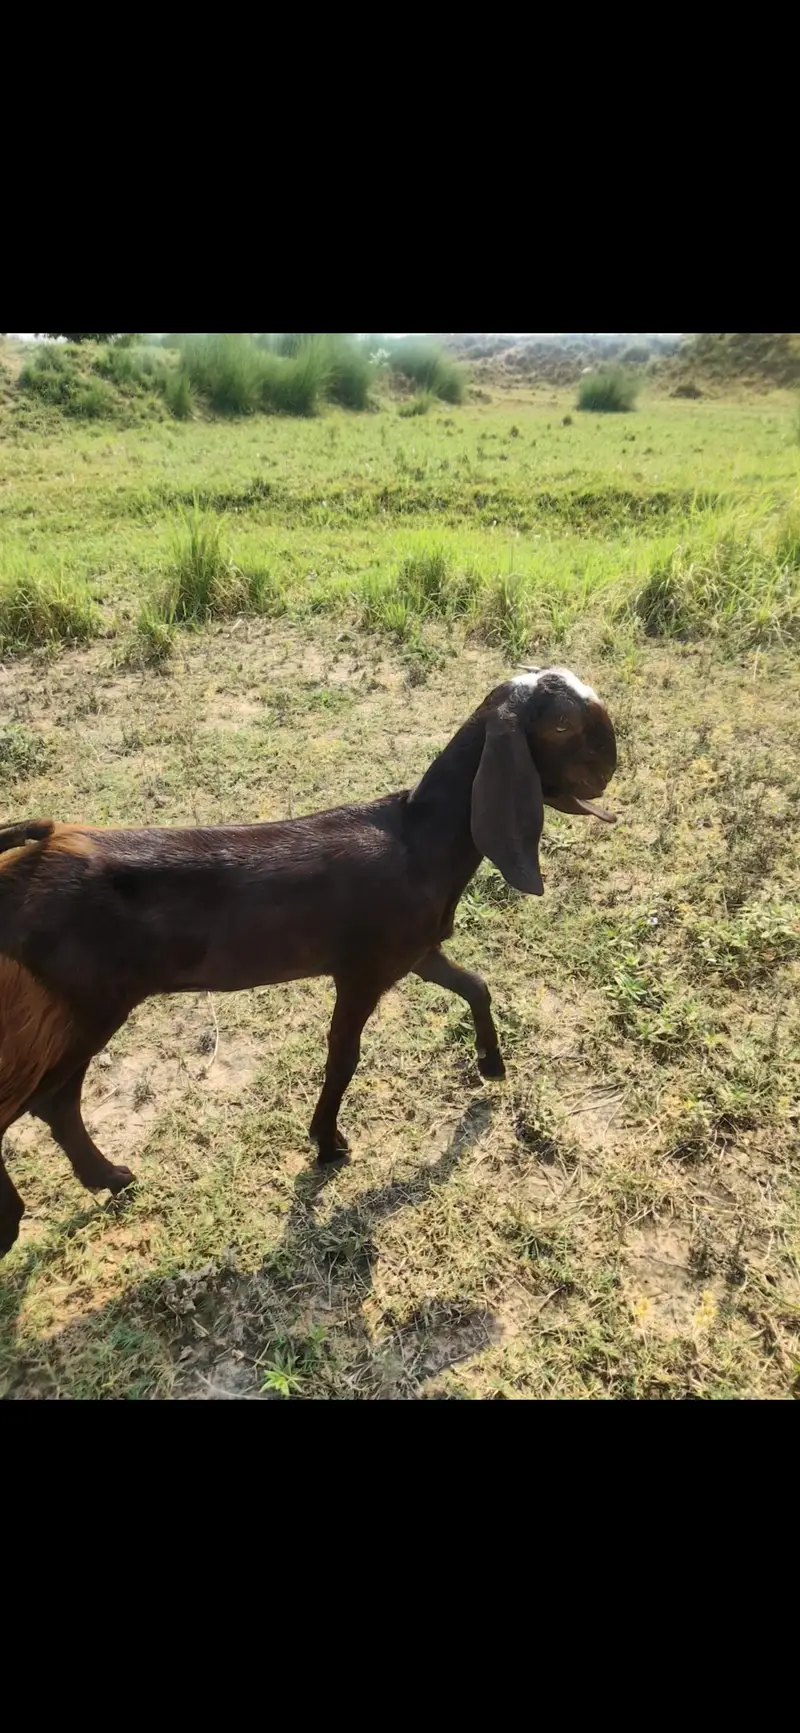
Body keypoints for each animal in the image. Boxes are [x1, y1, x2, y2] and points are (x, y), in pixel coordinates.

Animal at [0, 666, 617, 1257]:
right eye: (561, 725)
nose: (612, 767)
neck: (420, 840)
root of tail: (32, 855)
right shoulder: (362, 970)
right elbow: (344, 1053)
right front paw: (327, 1144)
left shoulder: (415, 951)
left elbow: (476, 986)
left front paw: (492, 1065)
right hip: (81, 1006)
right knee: (41, 1099)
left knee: (55, 1102)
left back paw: (109, 1179)